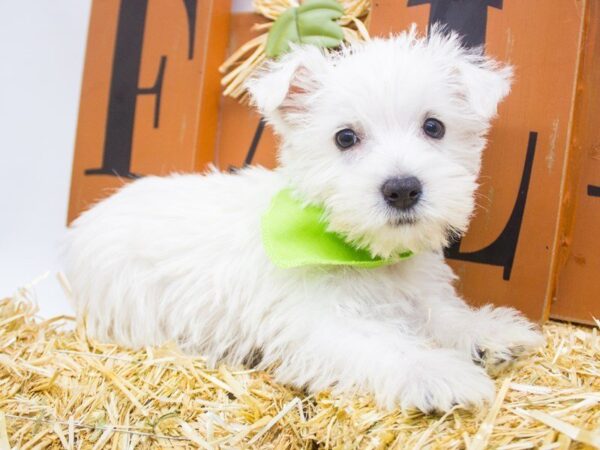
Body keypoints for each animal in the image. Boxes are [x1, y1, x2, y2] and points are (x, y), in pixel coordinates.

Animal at [65, 29, 544, 414]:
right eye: (345, 137)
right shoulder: (318, 325)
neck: (360, 253)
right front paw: (438, 373)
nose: (403, 189)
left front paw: (491, 331)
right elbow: (385, 344)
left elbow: (445, 316)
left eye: (434, 127)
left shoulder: (418, 295)